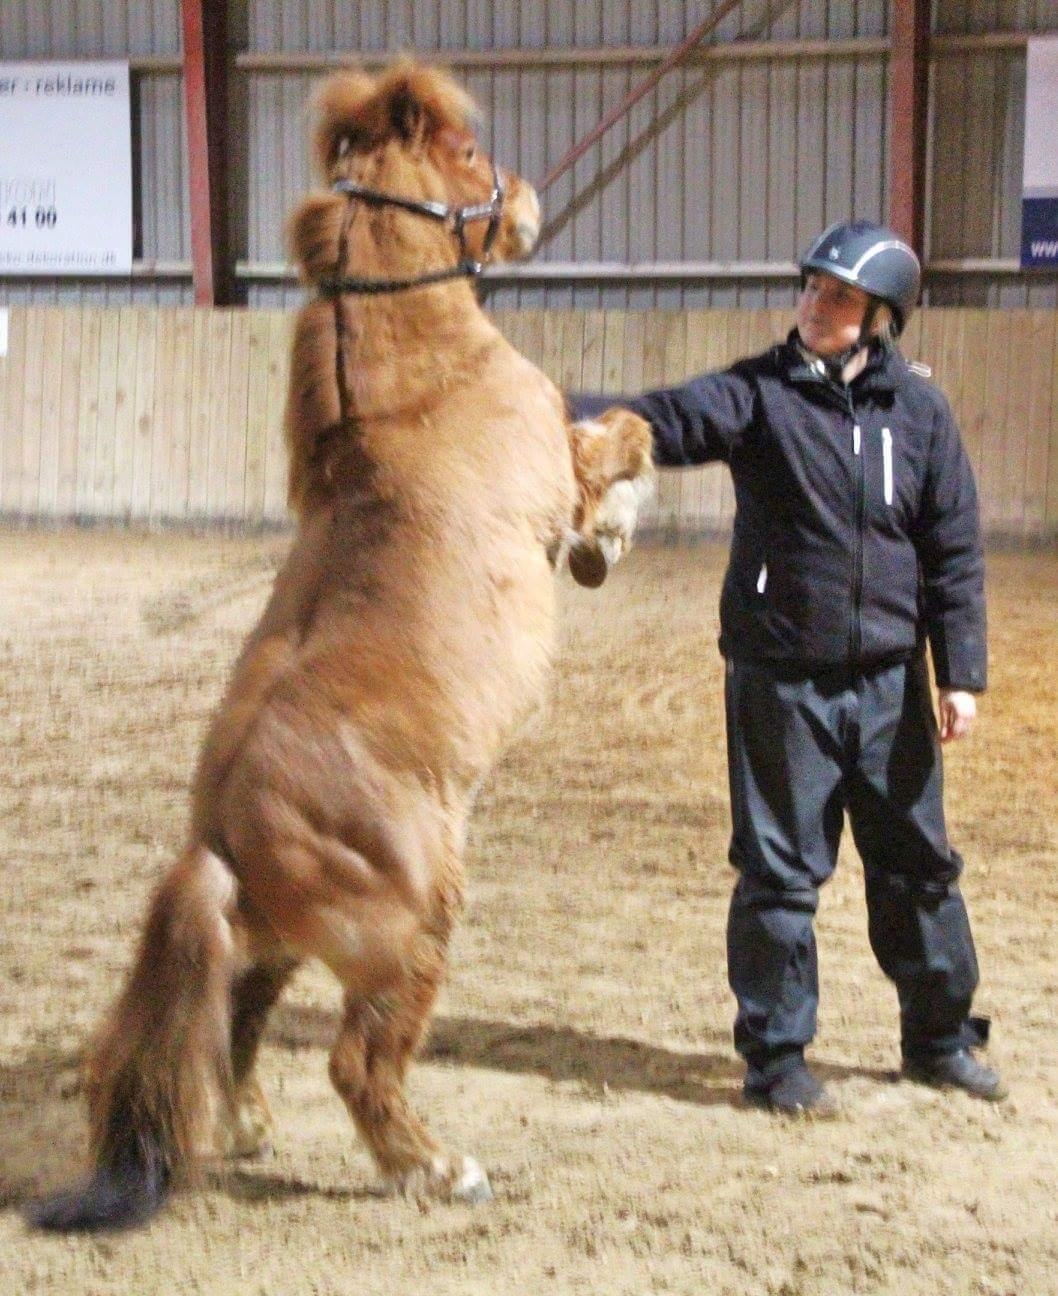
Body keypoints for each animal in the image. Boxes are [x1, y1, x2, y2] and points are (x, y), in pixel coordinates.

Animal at [29, 58, 653, 1232]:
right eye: (466, 153)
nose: (527, 201)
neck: (419, 389)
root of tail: (221, 843)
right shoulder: (557, 463)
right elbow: (621, 435)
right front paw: (613, 529)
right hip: (411, 934)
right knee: (360, 1067)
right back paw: (436, 1169)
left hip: (274, 946)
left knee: (234, 1027)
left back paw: (247, 1127)